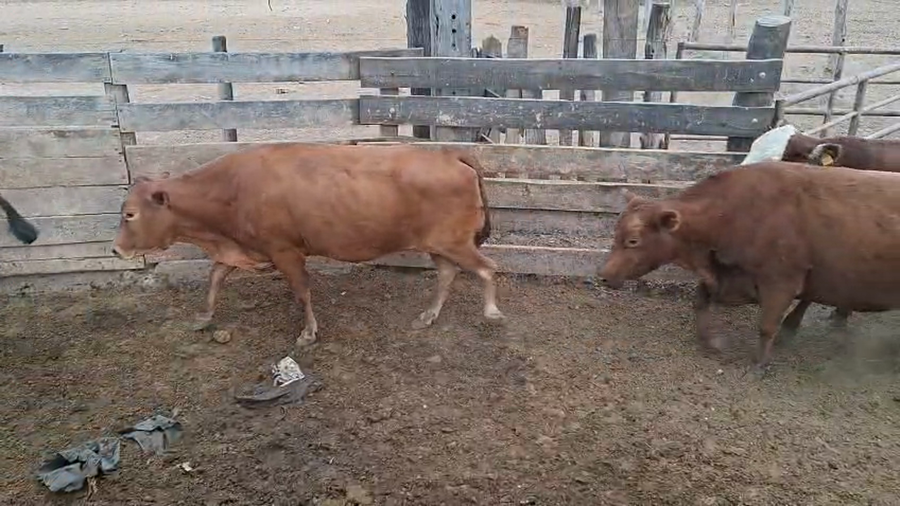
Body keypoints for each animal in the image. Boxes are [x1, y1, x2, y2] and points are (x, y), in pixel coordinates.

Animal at [111, 142, 505, 347]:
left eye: (130, 213)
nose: (116, 250)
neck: (232, 189)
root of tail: (448, 153)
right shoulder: (244, 247)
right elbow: (216, 276)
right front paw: (204, 316)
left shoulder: (284, 251)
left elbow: (302, 291)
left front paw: (308, 331)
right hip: (440, 244)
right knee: (448, 274)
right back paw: (428, 315)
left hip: (454, 241)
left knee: (487, 268)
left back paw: (490, 312)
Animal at [597, 161, 900, 371]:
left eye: (633, 240)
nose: (604, 275)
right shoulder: (724, 273)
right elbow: (701, 303)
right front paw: (710, 342)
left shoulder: (780, 282)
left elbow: (766, 326)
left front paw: (760, 364)